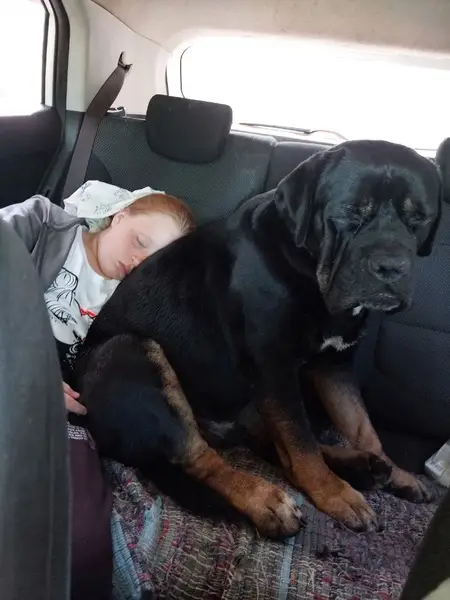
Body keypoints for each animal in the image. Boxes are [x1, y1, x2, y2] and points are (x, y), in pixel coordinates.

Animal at [74, 139, 447, 540]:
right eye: (350, 213)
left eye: (419, 218)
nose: (391, 267)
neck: (304, 265)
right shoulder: (275, 368)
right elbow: (302, 445)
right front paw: (335, 495)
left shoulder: (335, 364)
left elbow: (360, 425)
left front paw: (398, 474)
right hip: (129, 351)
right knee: (204, 458)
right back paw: (265, 498)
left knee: (268, 443)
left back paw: (366, 466)